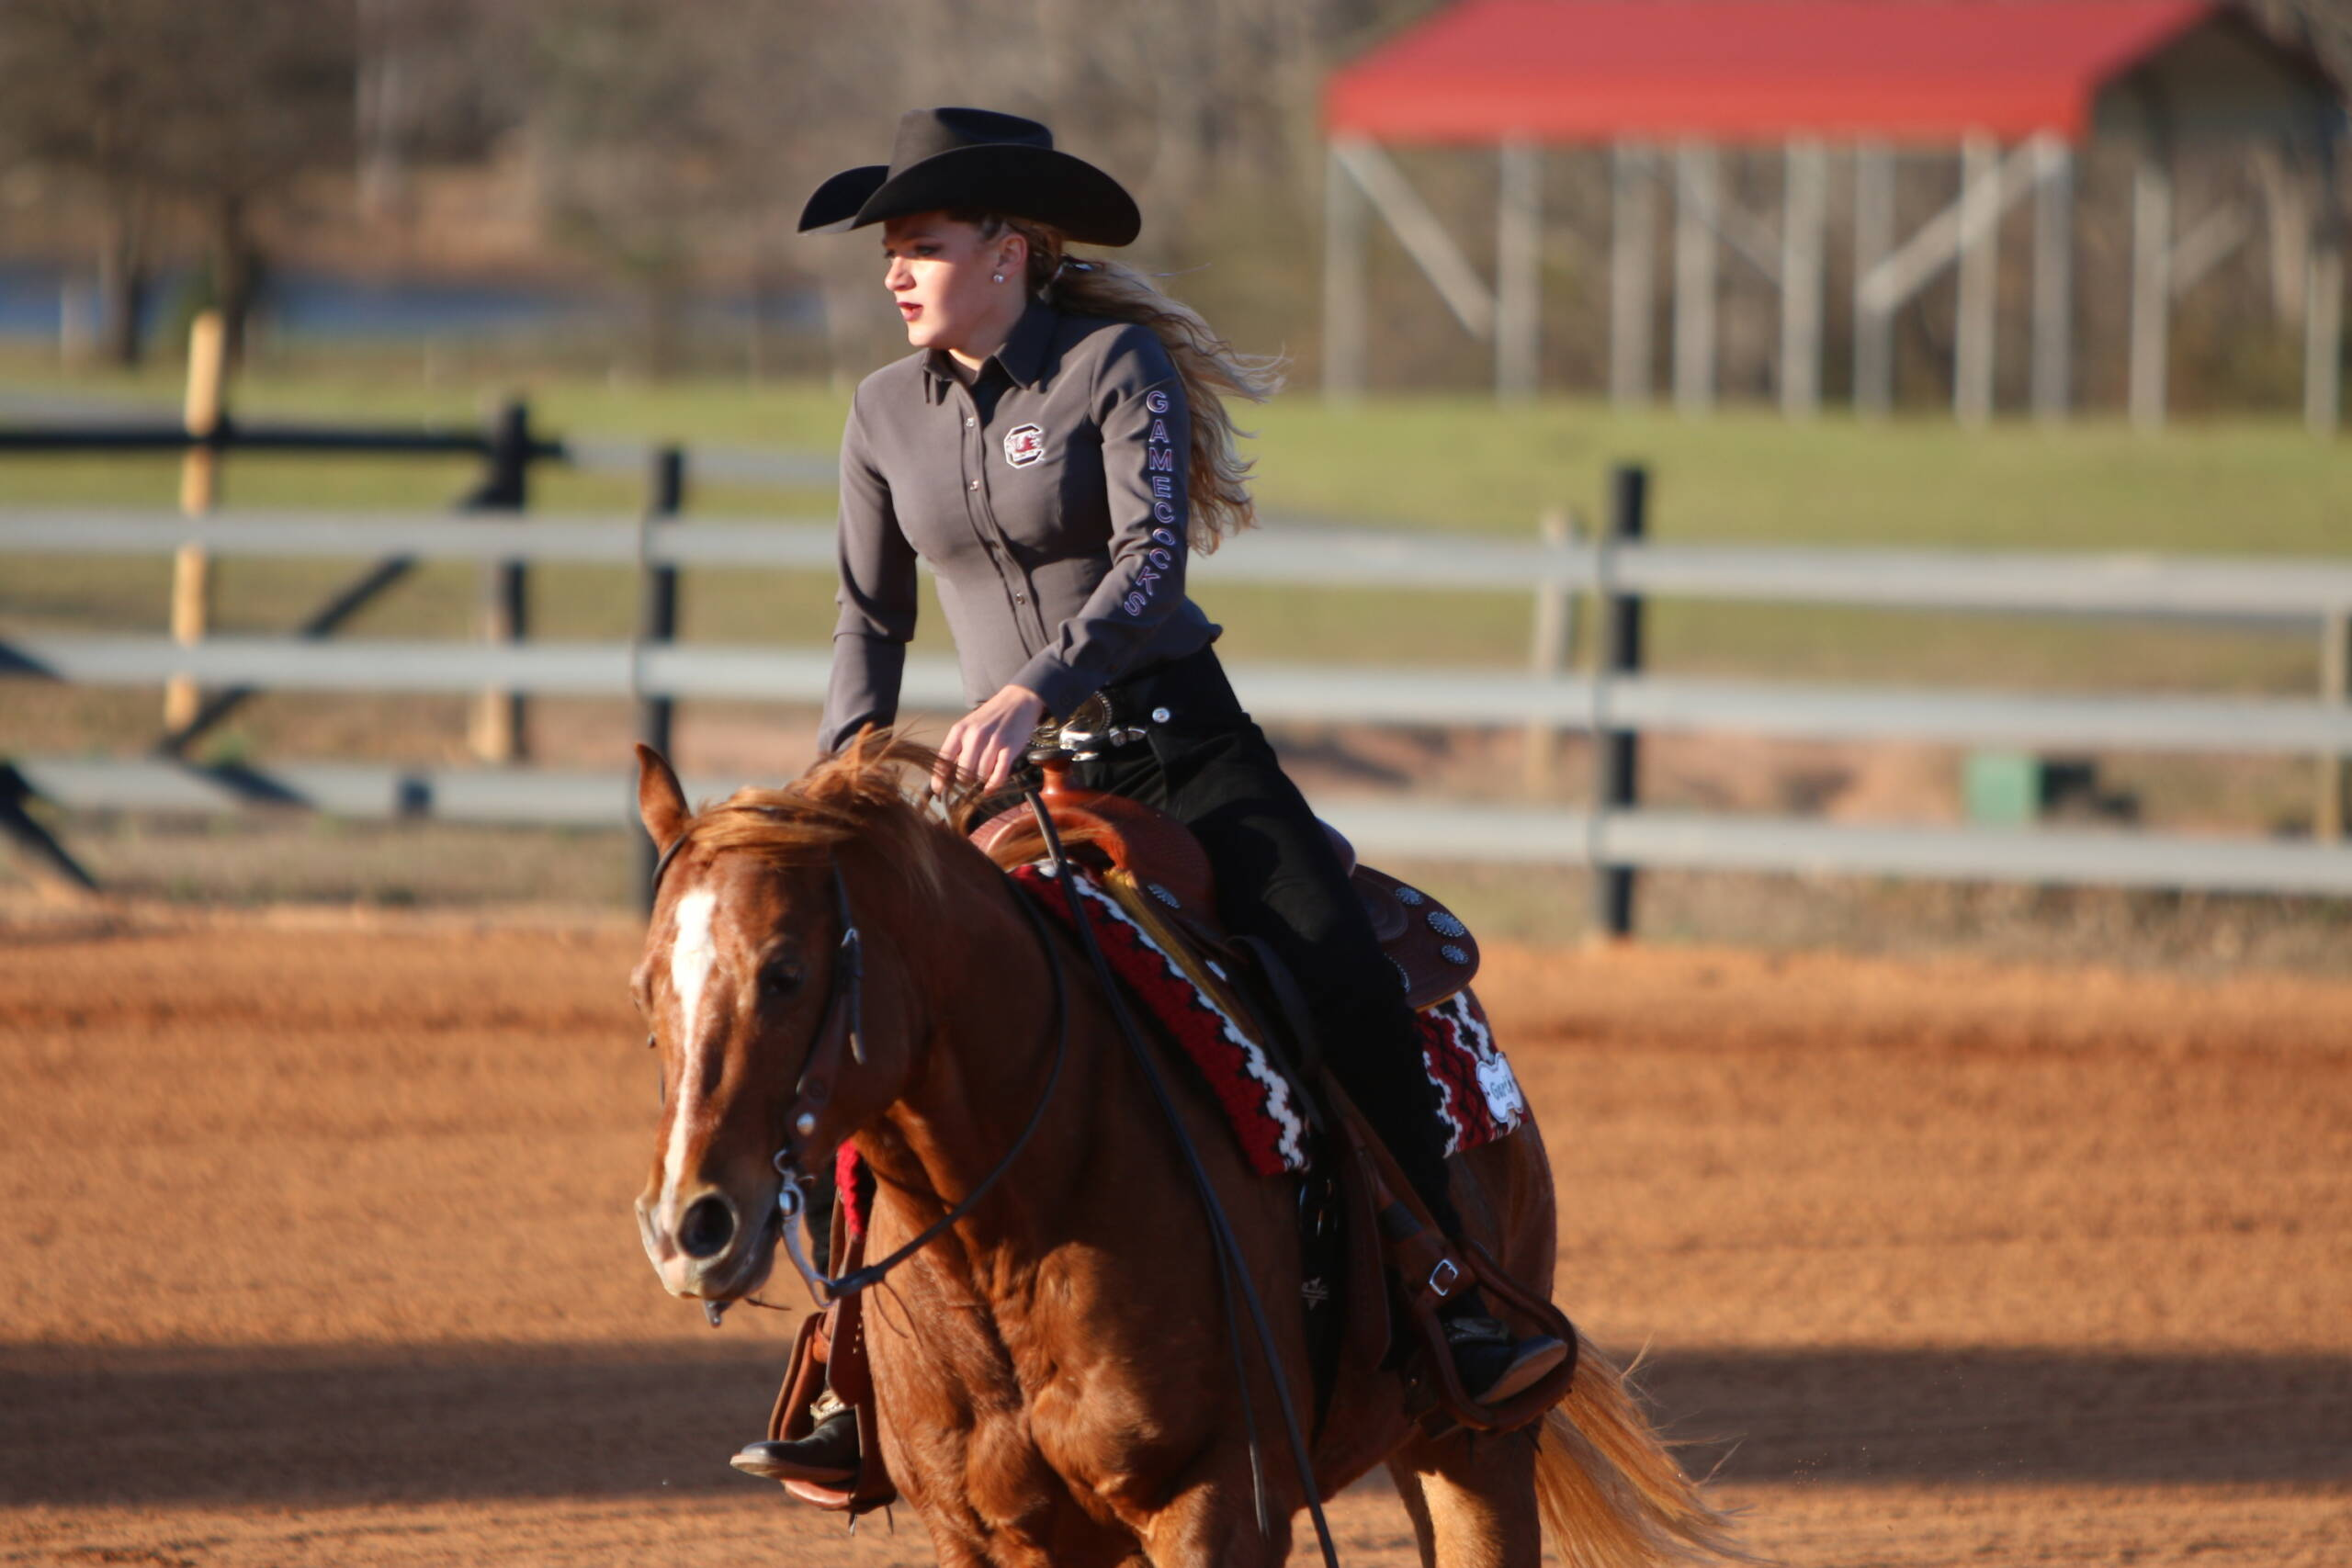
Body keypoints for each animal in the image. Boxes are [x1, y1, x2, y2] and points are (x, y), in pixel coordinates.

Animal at [635, 742, 1740, 1568]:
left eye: (786, 972)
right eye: (646, 984)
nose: (690, 1223)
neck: (1008, 1237)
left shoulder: (1218, 1510)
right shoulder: (985, 1535)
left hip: (1477, 1447)